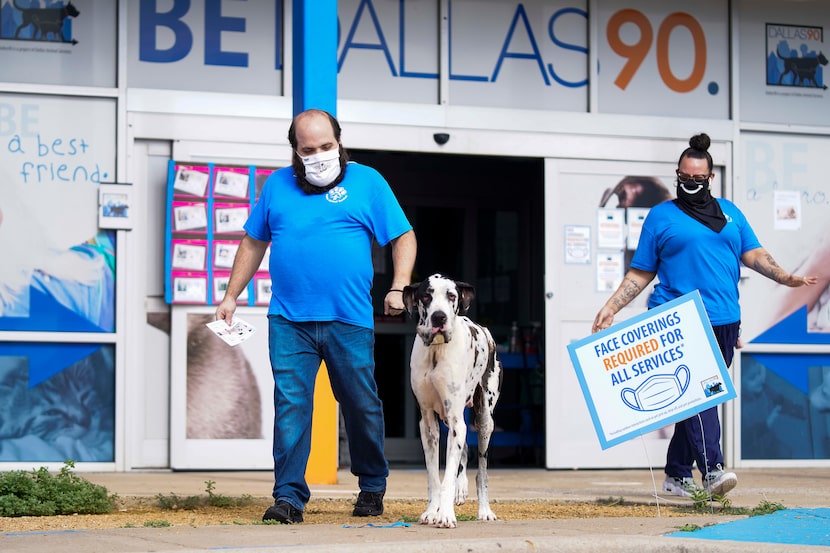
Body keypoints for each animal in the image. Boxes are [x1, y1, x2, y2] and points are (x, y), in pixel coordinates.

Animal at [402, 274, 500, 528]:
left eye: (452, 296)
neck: (436, 351)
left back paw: (484, 510)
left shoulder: (457, 421)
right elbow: (434, 477)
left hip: (484, 422)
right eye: (426, 296)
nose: (439, 317)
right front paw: (432, 511)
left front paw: (445, 514)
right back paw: (461, 487)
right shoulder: (428, 425)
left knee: (482, 471)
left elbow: (448, 477)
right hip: (448, 420)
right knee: (463, 450)